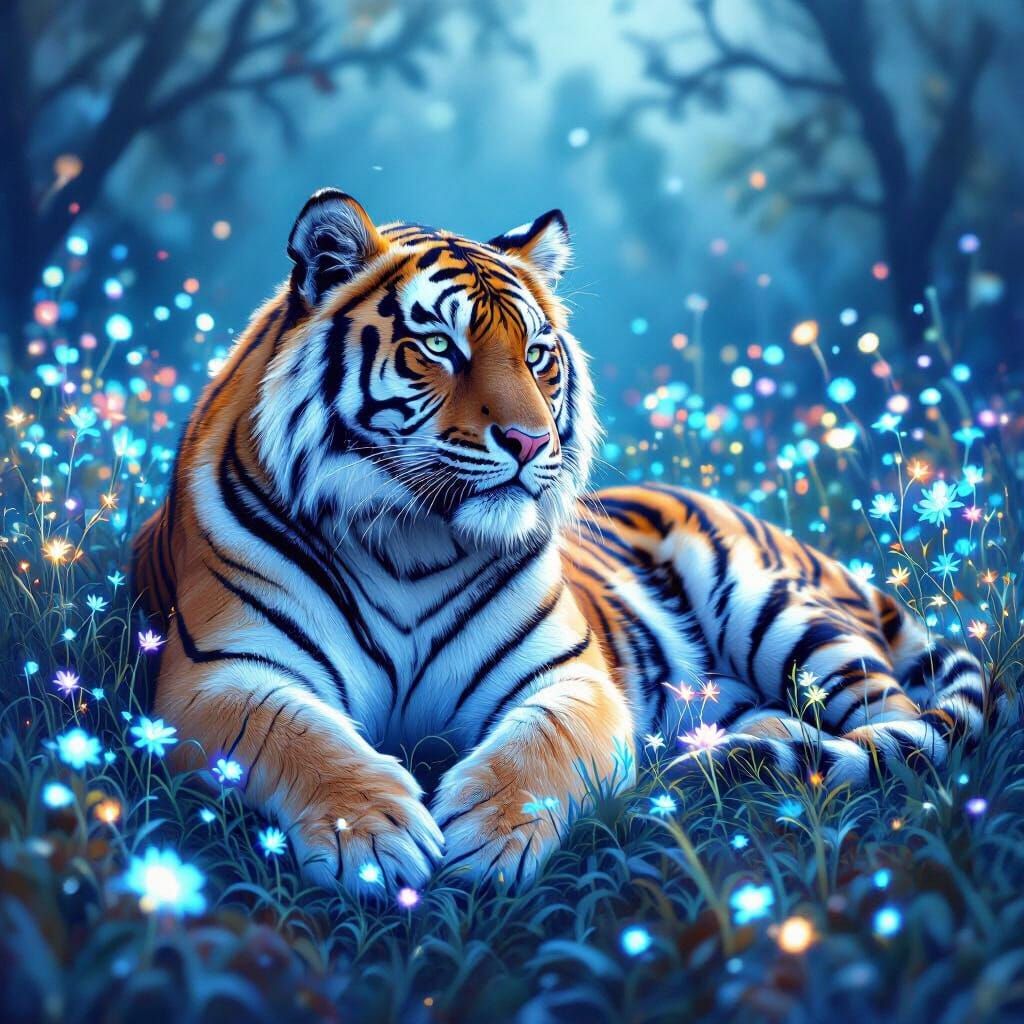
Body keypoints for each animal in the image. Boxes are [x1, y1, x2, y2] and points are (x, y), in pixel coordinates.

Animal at [133, 188, 988, 893]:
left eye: (538, 355)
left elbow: (539, 745)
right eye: (439, 348)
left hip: (773, 607)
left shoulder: (569, 676)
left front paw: (491, 838)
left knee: (893, 722)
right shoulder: (222, 672)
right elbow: (301, 737)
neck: (409, 541)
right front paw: (371, 837)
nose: (530, 440)